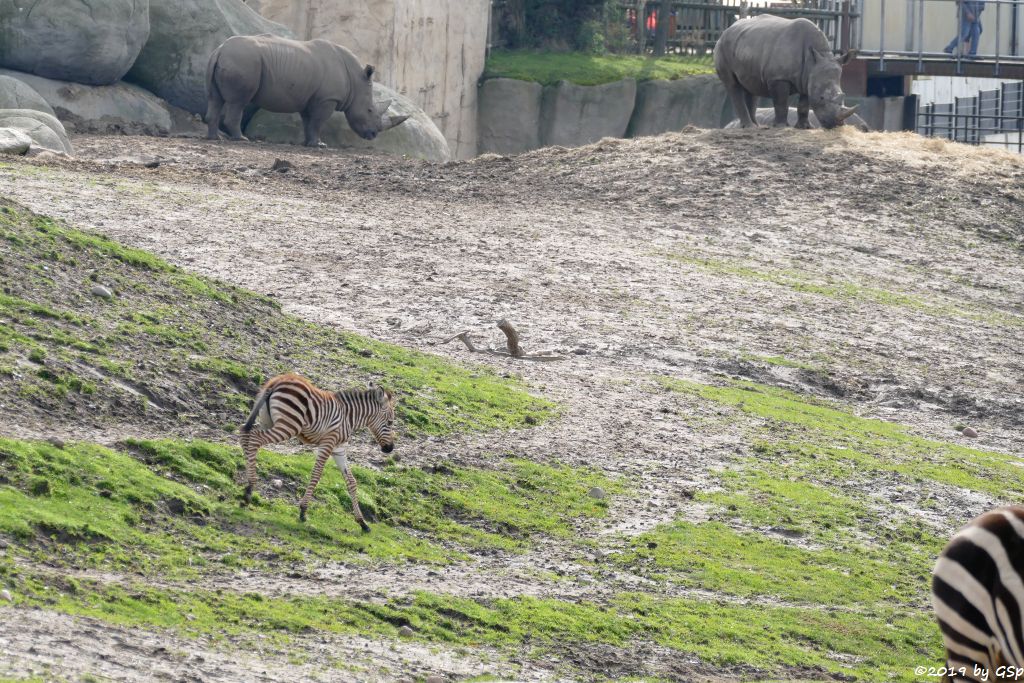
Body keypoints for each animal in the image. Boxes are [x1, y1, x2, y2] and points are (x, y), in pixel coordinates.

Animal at [205, 34, 409, 147]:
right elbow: (318, 121)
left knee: (215, 99)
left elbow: (308, 122)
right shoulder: (328, 99)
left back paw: (215, 138)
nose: (373, 135)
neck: (355, 80)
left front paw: (308, 143)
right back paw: (241, 139)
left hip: (228, 60)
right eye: (370, 110)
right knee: (238, 102)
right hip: (243, 61)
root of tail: (219, 50)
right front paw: (320, 145)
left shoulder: (311, 99)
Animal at [238, 370, 395, 532]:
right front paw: (303, 511)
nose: (389, 448)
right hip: (288, 425)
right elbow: (316, 474)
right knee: (255, 439)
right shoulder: (328, 443)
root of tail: (278, 381)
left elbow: (351, 482)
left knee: (245, 433)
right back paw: (249, 489)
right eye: (390, 422)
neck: (348, 416)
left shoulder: (339, 449)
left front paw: (362, 522)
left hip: (267, 421)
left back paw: (246, 485)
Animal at [716, 14, 860, 129]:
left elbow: (804, 104)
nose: (836, 124)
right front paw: (781, 126)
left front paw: (805, 127)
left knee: (751, 87)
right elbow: (781, 103)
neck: (815, 59)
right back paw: (749, 126)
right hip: (723, 47)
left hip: (747, 46)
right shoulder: (779, 77)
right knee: (733, 85)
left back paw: (756, 126)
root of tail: (726, 30)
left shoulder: (808, 78)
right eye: (822, 98)